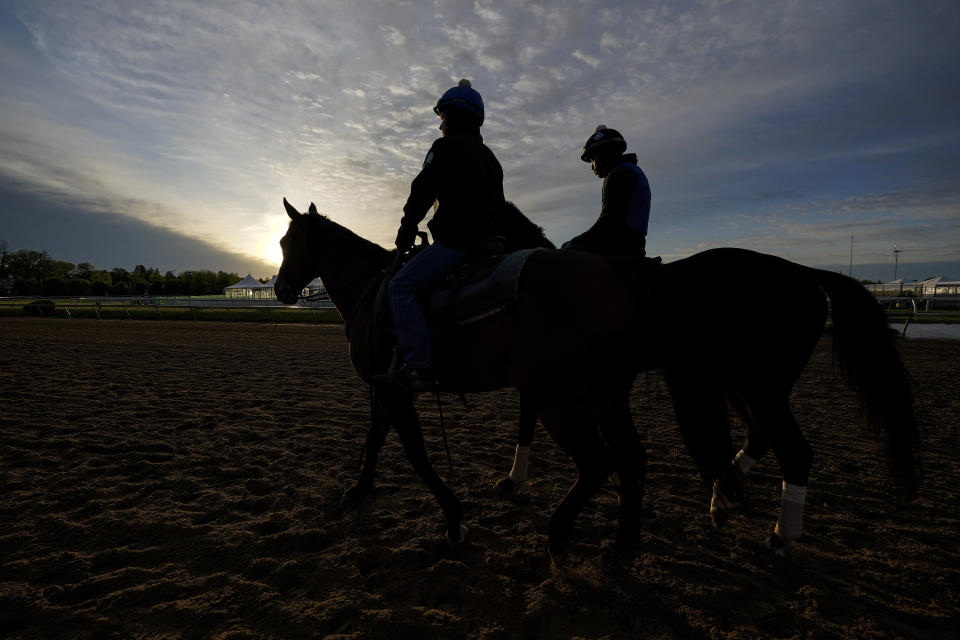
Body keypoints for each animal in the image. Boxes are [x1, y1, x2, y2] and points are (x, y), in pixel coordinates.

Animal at [276, 79, 916, 564]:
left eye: (285, 241)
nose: (280, 288)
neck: (376, 287)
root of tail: (800, 271)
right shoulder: (398, 389)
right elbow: (377, 441)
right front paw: (360, 493)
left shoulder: (406, 386)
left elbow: (413, 451)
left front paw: (460, 516)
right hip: (712, 384)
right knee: (672, 453)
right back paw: (682, 520)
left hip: (737, 384)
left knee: (773, 452)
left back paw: (770, 535)